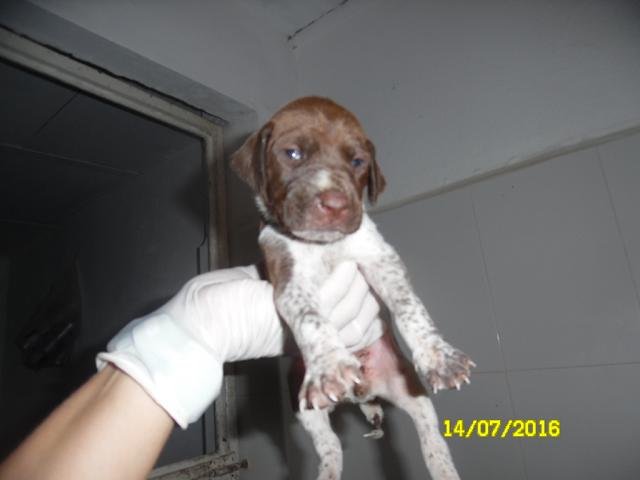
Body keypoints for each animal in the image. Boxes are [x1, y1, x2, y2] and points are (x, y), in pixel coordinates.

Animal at [231, 96, 474, 480]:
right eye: (293, 153)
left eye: (358, 162)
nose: (336, 204)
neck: (326, 245)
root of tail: (360, 393)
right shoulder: (289, 276)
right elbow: (312, 318)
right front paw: (329, 366)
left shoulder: (380, 258)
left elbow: (409, 308)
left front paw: (438, 355)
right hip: (305, 407)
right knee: (330, 447)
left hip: (411, 392)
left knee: (431, 437)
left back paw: (443, 469)